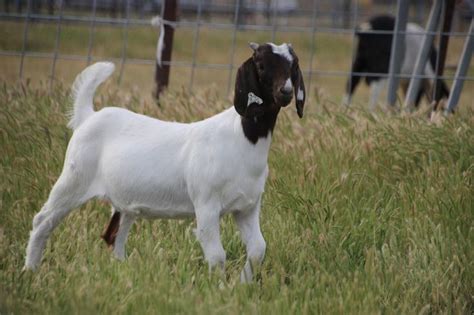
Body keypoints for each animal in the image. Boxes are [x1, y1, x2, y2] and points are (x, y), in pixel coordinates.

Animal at [25, 42, 308, 284]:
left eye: (292, 66)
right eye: (260, 64)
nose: (285, 92)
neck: (243, 136)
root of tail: (88, 116)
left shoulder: (247, 207)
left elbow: (258, 249)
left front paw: (242, 286)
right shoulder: (206, 204)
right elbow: (217, 255)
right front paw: (219, 289)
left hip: (123, 202)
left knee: (113, 236)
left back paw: (124, 275)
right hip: (74, 179)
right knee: (42, 221)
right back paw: (30, 270)